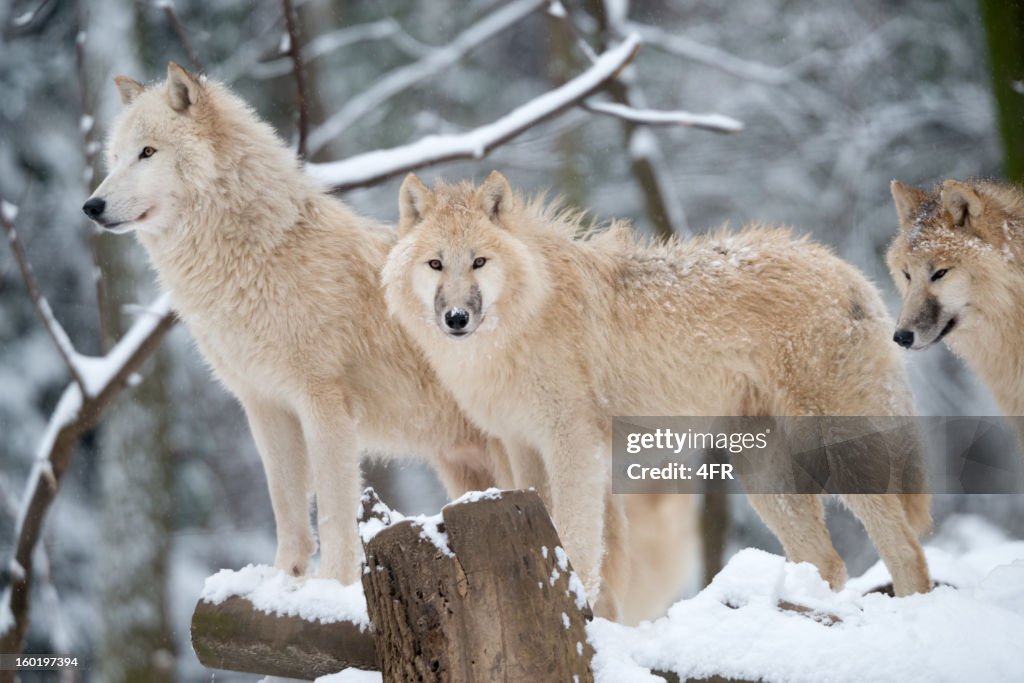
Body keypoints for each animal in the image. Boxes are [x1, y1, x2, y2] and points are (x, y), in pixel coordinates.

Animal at [385, 172, 937, 602]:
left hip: (835, 454)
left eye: (479, 262)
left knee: (906, 551)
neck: (523, 321)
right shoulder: (523, 448)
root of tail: (851, 274)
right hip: (762, 476)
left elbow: (579, 544)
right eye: (436, 264)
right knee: (828, 561)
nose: (457, 318)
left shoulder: (574, 448)